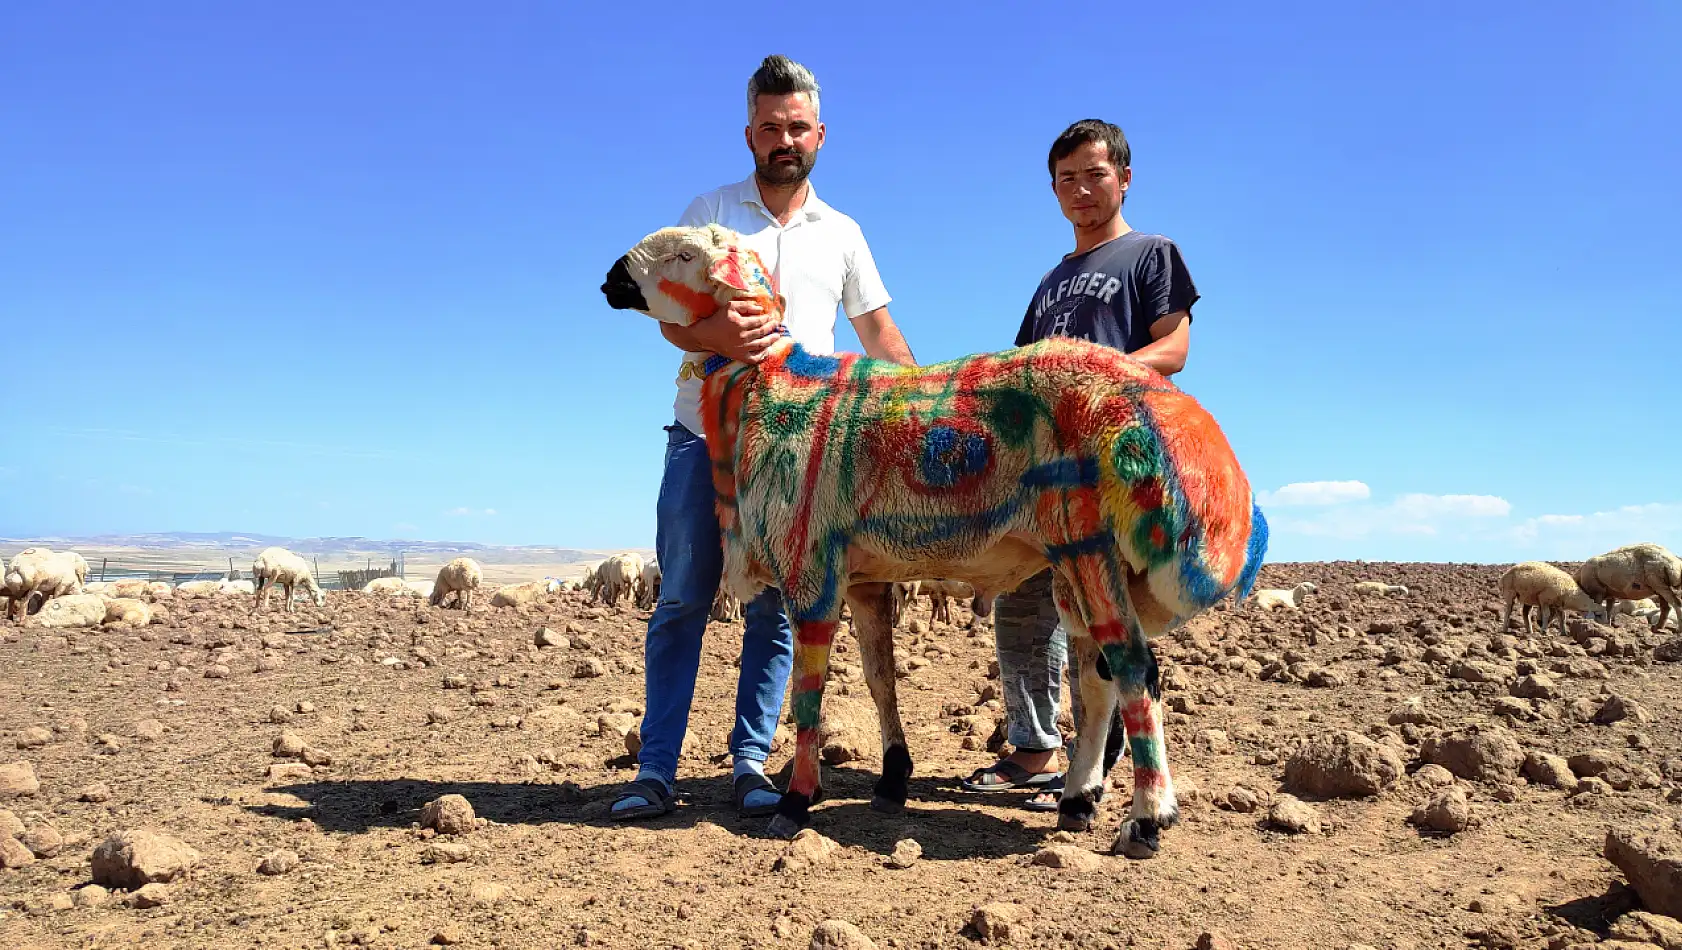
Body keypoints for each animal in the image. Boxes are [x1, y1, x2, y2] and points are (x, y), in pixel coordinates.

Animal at [598, 220, 1264, 850]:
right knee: (1099, 680)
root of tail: (1183, 425)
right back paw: (1078, 800)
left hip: (1090, 547)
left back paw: (1147, 819)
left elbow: (808, 694)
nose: (611, 277)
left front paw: (797, 801)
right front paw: (893, 777)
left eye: (685, 254)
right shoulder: (863, 578)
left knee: (1134, 669)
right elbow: (879, 679)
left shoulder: (810, 570)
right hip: (1073, 566)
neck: (772, 386)